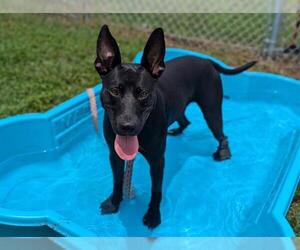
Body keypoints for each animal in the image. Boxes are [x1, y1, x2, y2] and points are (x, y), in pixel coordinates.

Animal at [94, 24, 255, 229]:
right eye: (114, 90)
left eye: (143, 93)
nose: (127, 126)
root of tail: (205, 60)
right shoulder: (114, 155)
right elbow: (117, 180)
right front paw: (114, 203)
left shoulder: (157, 161)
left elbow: (156, 191)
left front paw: (153, 215)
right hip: (180, 107)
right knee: (186, 121)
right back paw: (177, 131)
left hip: (211, 111)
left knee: (222, 134)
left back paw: (223, 153)